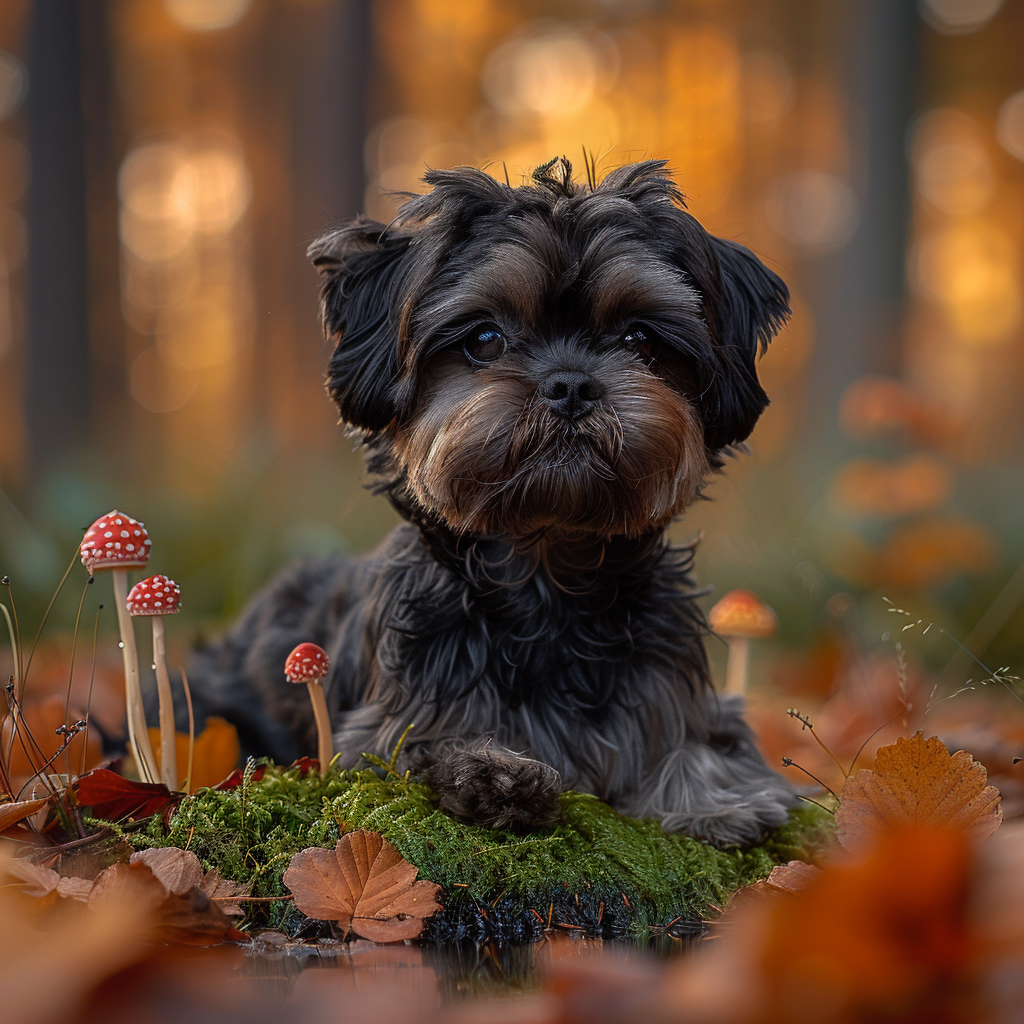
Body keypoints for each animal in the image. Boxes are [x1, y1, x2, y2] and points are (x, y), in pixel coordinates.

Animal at [190, 157, 798, 847]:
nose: (570, 384)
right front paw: (493, 772)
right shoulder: (392, 722)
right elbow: (425, 746)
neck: (548, 574)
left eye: (641, 339)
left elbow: (704, 741)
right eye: (484, 338)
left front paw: (716, 798)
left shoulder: (669, 688)